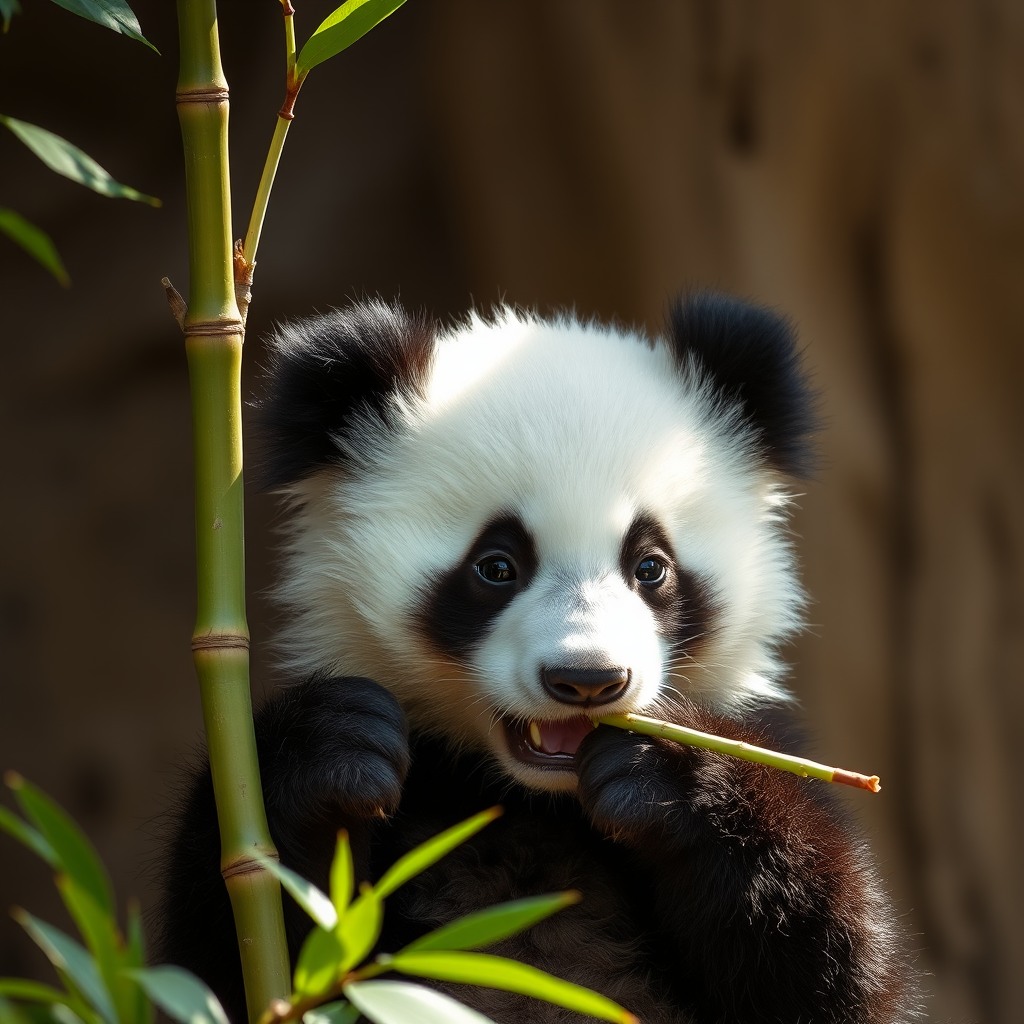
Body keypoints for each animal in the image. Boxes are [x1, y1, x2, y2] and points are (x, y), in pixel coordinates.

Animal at [159, 293, 918, 1024]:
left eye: (650, 567)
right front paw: (333, 749)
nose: (586, 680)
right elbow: (233, 962)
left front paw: (670, 771)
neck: (534, 801)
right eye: (496, 566)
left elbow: (837, 971)